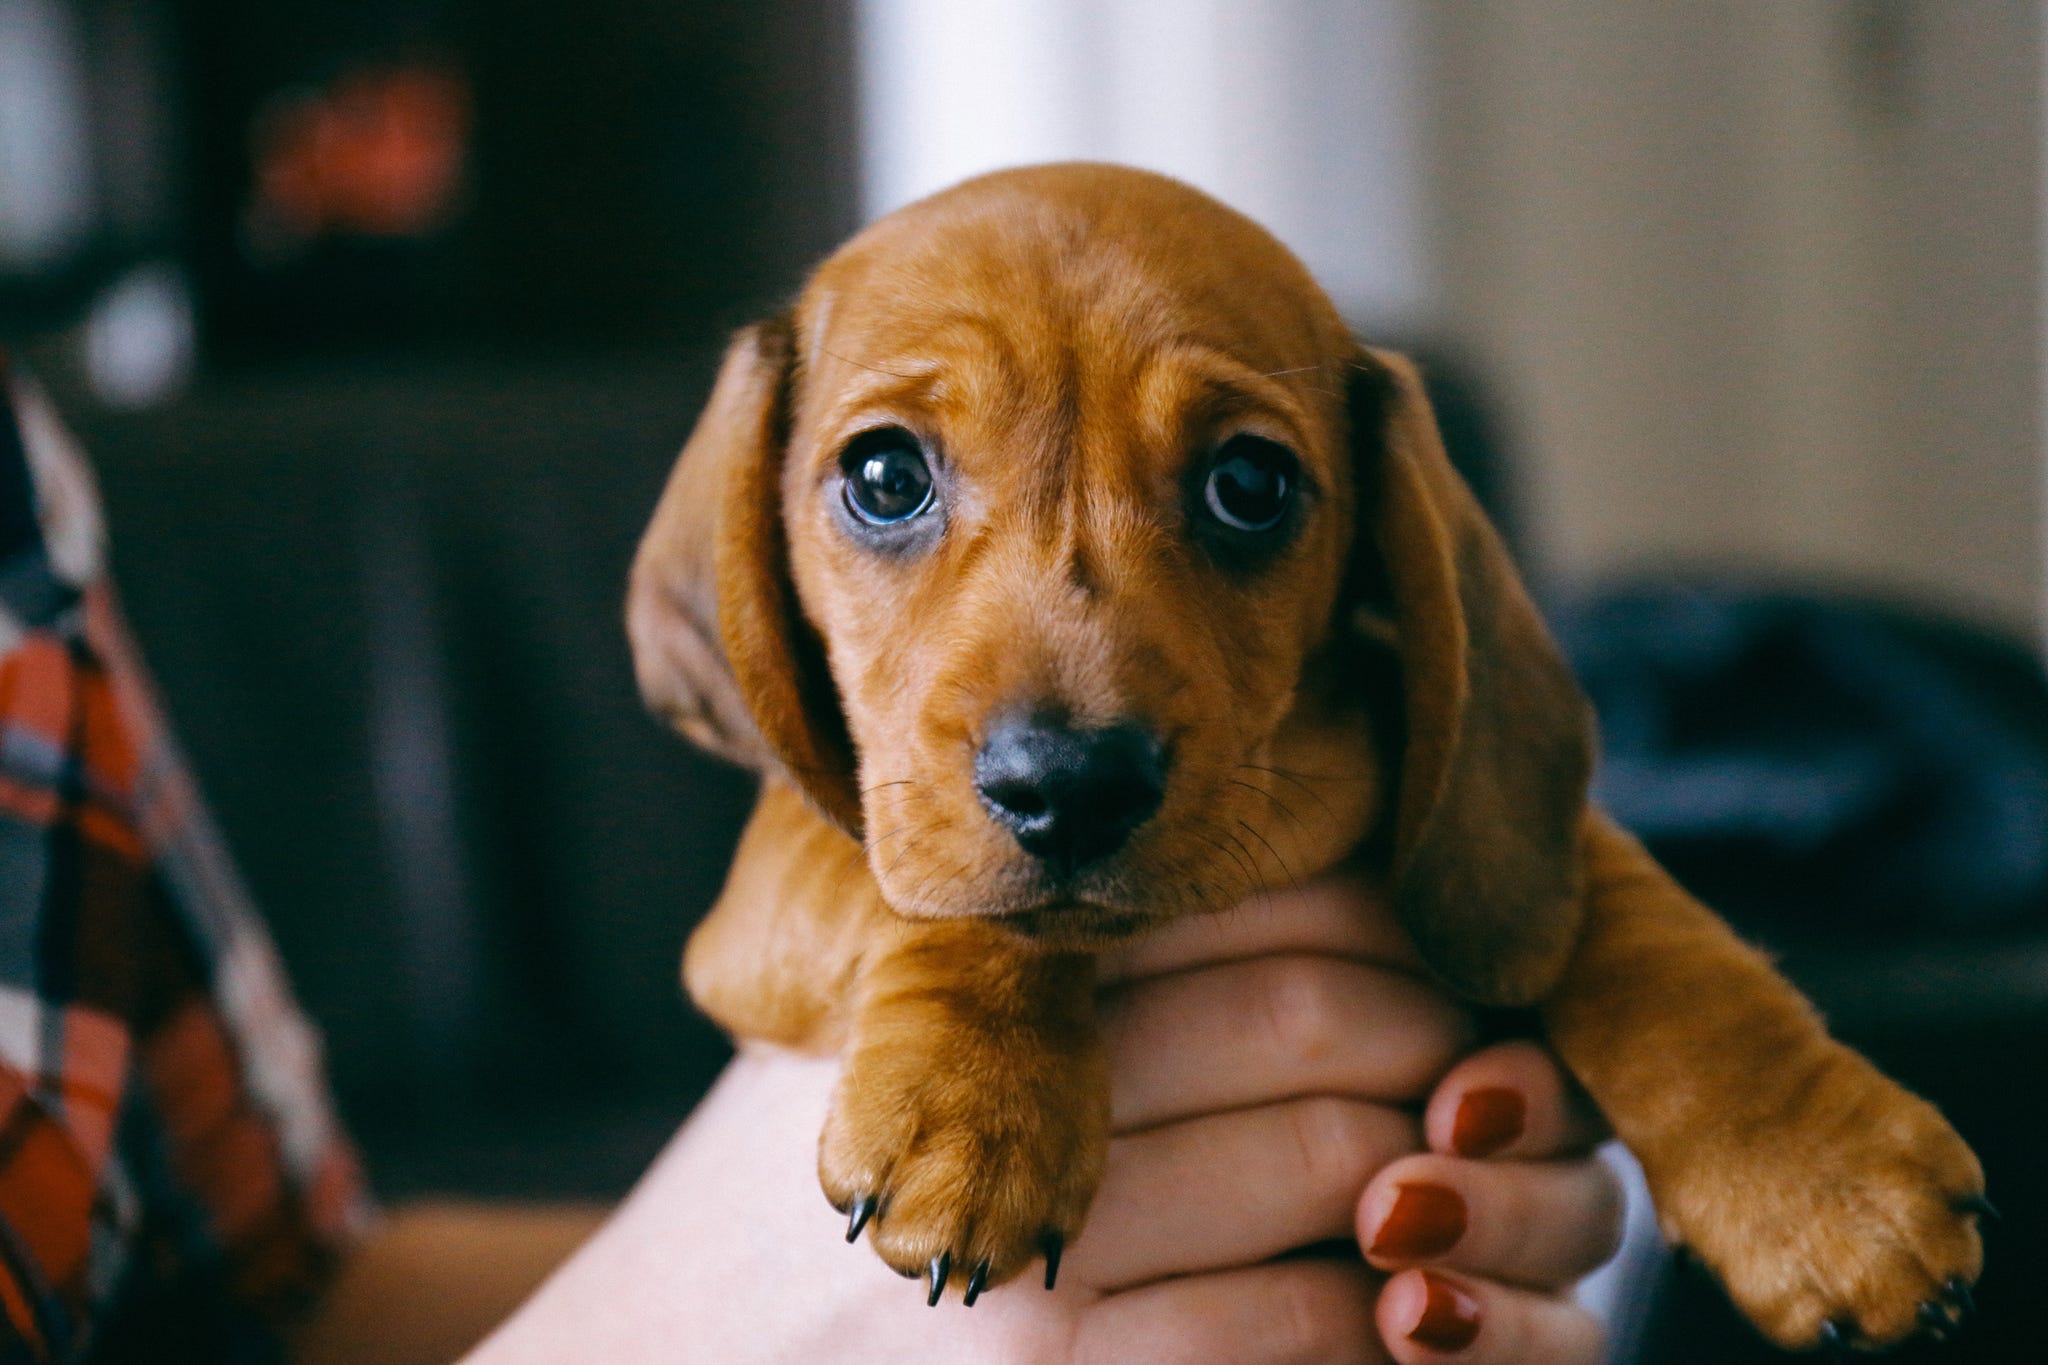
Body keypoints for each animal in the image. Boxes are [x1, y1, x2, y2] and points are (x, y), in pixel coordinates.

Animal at [622, 165, 1982, 1350]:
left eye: (1248, 484)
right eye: (883, 474)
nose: (1069, 788)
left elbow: (1635, 925)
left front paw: (1817, 1180)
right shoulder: (764, 902)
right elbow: (924, 889)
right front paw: (976, 1105)